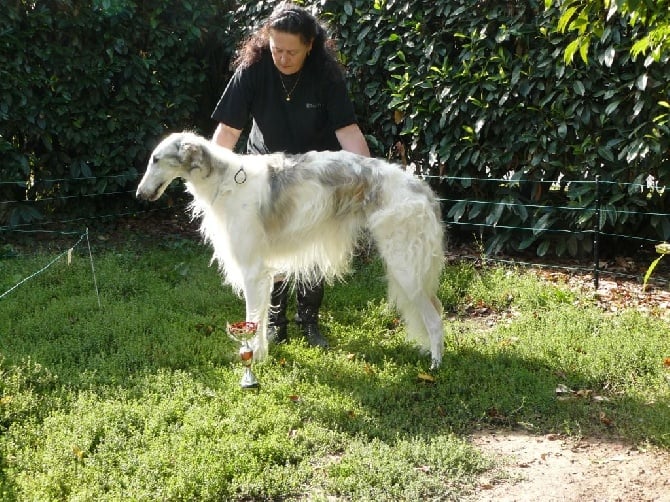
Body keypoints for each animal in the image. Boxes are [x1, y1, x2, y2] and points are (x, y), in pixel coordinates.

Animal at [136, 132, 446, 368]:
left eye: (155, 159)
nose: (139, 194)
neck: (224, 180)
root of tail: (423, 189)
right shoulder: (262, 272)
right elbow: (262, 320)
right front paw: (260, 355)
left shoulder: (251, 271)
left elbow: (252, 319)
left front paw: (251, 358)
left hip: (405, 268)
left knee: (435, 318)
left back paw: (435, 366)